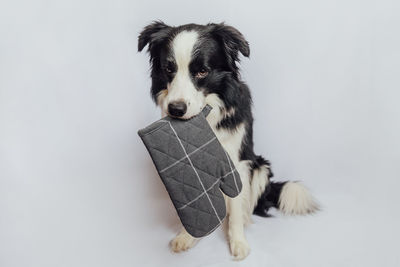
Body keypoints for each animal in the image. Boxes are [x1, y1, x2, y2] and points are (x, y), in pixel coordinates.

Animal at [138, 21, 318, 262]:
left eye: (202, 71)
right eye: (169, 69)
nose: (175, 109)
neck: (207, 119)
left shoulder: (237, 162)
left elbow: (235, 210)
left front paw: (238, 242)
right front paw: (188, 236)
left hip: (260, 167)